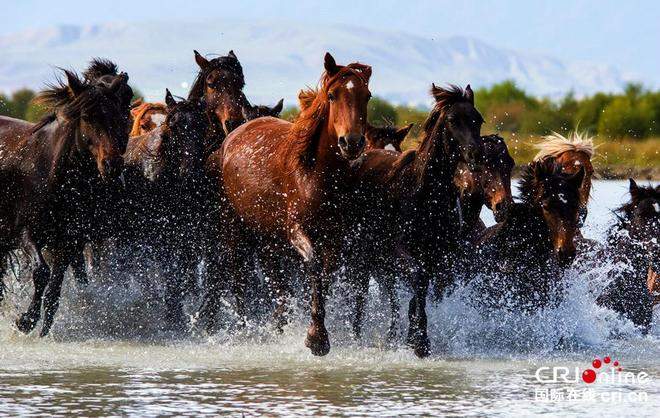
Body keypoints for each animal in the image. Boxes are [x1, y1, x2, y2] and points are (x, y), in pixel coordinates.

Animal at [0, 69, 129, 335]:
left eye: (119, 115)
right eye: (88, 117)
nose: (112, 165)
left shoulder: (68, 241)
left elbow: (54, 291)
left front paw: (43, 330)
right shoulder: (26, 232)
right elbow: (41, 272)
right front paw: (25, 321)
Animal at [203, 53, 372, 356]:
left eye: (367, 96)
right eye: (332, 95)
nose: (351, 143)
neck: (315, 174)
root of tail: (231, 137)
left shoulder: (335, 236)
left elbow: (325, 275)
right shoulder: (296, 231)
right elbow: (314, 266)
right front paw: (317, 338)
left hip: (268, 238)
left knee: (276, 283)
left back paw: (278, 324)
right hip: (234, 227)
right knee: (237, 275)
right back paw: (244, 329)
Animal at [346, 84, 483, 356]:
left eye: (478, 119)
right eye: (452, 120)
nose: (475, 154)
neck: (424, 195)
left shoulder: (440, 257)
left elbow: (422, 292)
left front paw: (415, 337)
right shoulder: (398, 250)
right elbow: (417, 281)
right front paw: (420, 342)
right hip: (364, 255)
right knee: (362, 293)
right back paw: (357, 335)